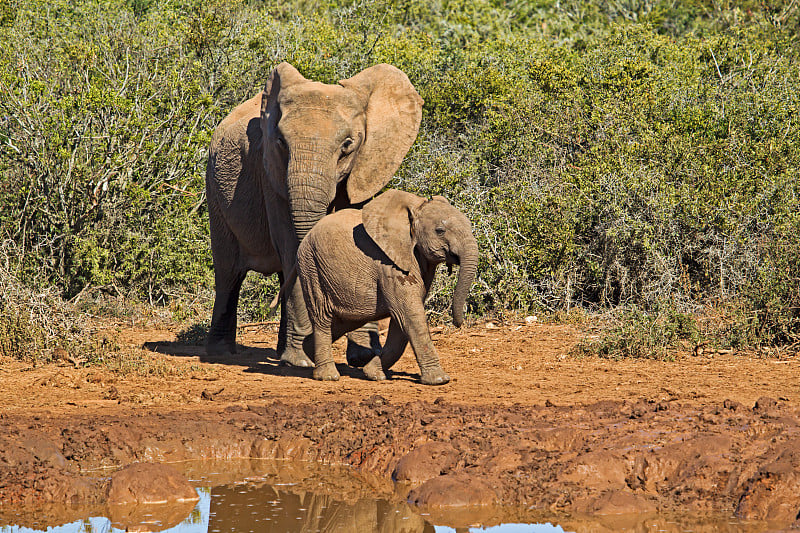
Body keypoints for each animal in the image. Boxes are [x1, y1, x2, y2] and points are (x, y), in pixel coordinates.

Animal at [205, 63, 424, 370]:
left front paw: (362, 356)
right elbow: (292, 244)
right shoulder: (270, 172)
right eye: (281, 142)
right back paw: (222, 354)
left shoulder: (365, 165)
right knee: (228, 273)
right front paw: (301, 360)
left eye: (347, 145)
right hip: (214, 191)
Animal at [296, 189, 478, 384]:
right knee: (322, 317)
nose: (458, 323)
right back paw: (328, 376)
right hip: (311, 266)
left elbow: (401, 323)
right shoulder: (389, 263)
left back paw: (307, 352)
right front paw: (439, 380)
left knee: (346, 320)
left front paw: (373, 374)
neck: (414, 209)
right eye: (440, 231)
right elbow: (410, 314)